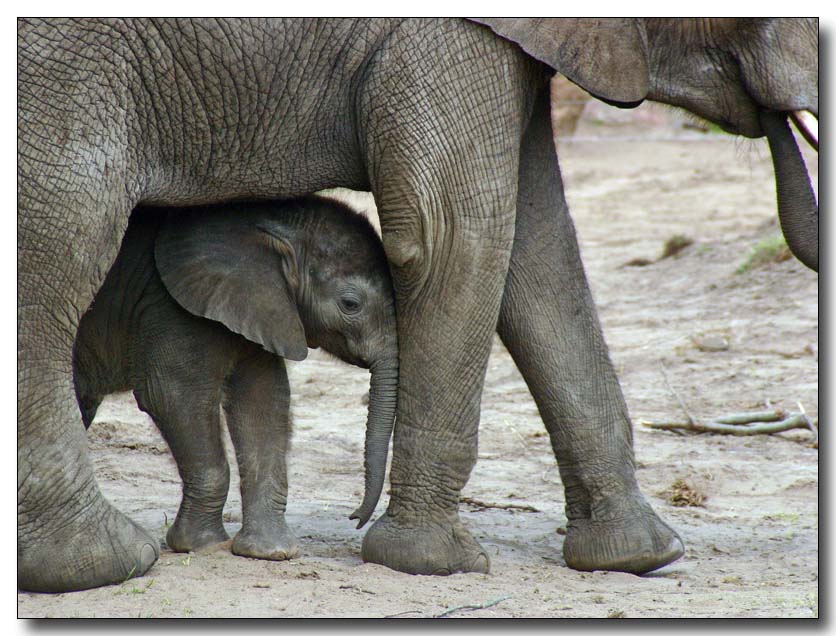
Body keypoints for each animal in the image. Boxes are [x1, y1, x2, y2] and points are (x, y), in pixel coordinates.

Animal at [72, 195, 398, 560]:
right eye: (350, 304)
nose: (355, 518)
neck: (271, 225)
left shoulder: (263, 308)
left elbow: (264, 400)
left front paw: (270, 552)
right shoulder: (170, 305)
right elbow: (171, 395)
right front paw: (202, 545)